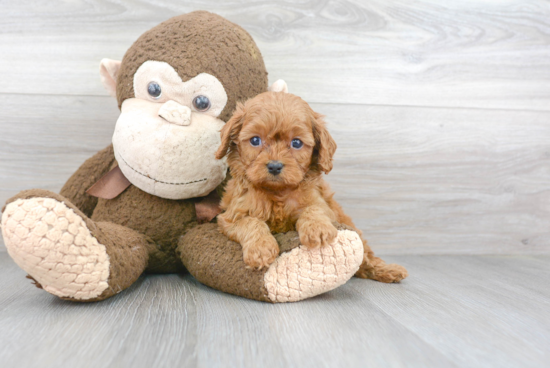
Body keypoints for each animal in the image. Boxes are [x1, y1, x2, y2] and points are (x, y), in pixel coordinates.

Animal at [216, 92, 410, 284]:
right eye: (255, 140)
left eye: (296, 143)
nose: (274, 166)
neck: (278, 192)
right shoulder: (231, 217)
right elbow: (250, 222)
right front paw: (260, 249)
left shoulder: (322, 204)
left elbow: (314, 209)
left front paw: (318, 229)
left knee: (367, 259)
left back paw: (389, 270)